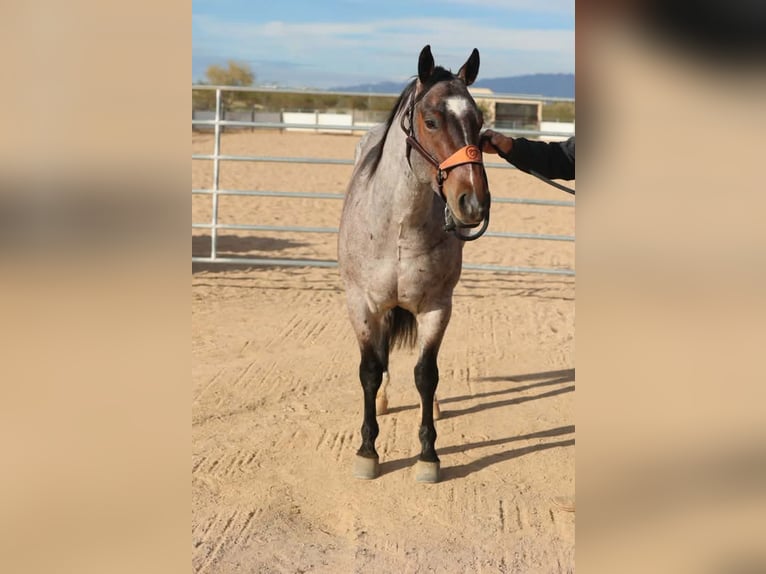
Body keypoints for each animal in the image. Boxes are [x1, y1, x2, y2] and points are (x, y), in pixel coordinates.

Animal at [337, 45, 491, 483]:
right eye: (431, 120)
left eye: (480, 122)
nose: (474, 203)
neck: (399, 226)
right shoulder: (362, 305)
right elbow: (369, 370)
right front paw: (367, 452)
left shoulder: (437, 307)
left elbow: (426, 374)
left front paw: (428, 456)